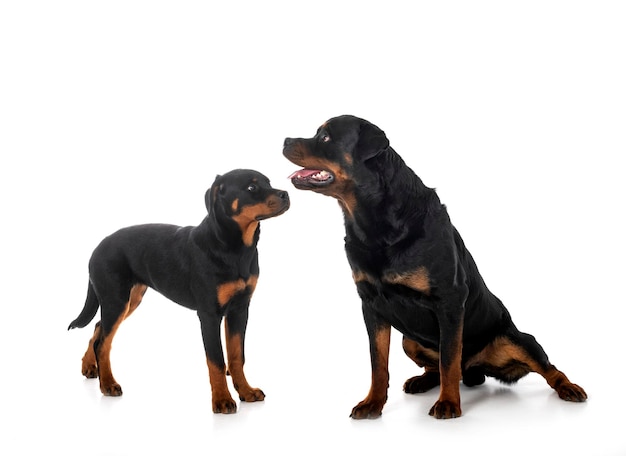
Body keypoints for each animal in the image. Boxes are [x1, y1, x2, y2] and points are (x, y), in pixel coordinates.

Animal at [69, 169, 288, 416]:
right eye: (251, 188)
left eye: (268, 182)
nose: (286, 194)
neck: (233, 247)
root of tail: (96, 248)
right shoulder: (209, 314)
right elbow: (216, 360)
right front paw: (222, 400)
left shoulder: (240, 309)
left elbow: (236, 356)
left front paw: (246, 391)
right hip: (116, 299)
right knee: (103, 342)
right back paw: (108, 384)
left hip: (129, 299)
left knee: (98, 328)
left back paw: (89, 367)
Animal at [282, 116, 584, 418]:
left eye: (325, 138)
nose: (285, 140)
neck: (373, 224)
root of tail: (473, 371)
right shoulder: (371, 304)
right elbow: (378, 362)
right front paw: (372, 403)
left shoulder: (449, 300)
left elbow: (449, 360)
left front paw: (448, 403)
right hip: (410, 341)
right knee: (435, 367)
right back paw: (421, 381)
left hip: (517, 339)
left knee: (545, 367)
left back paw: (569, 387)